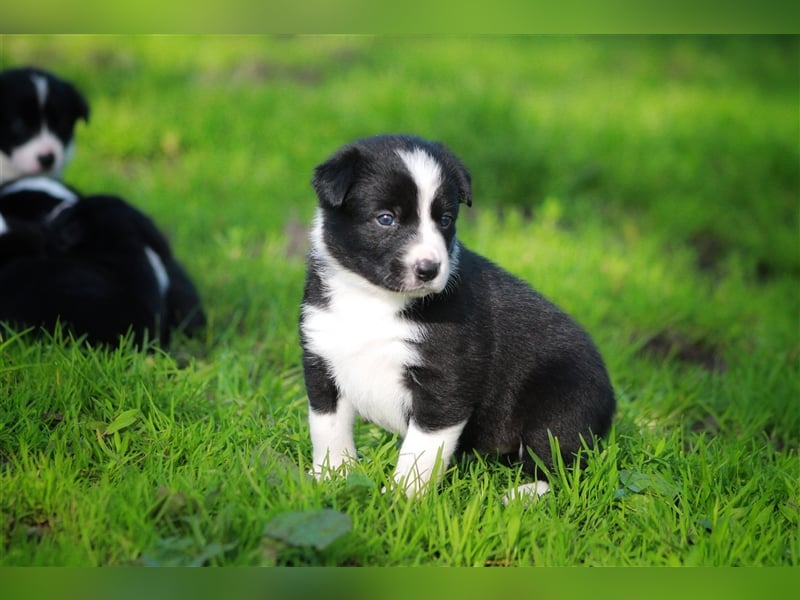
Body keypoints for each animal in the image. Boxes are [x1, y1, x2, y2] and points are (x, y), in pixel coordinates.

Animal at [296, 134, 616, 500]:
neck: (375, 301)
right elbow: (327, 427)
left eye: (446, 219)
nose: (429, 269)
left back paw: (519, 495)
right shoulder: (321, 357)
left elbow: (420, 450)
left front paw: (401, 498)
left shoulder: (446, 379)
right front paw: (331, 475)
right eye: (385, 218)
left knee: (561, 465)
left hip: (561, 404)